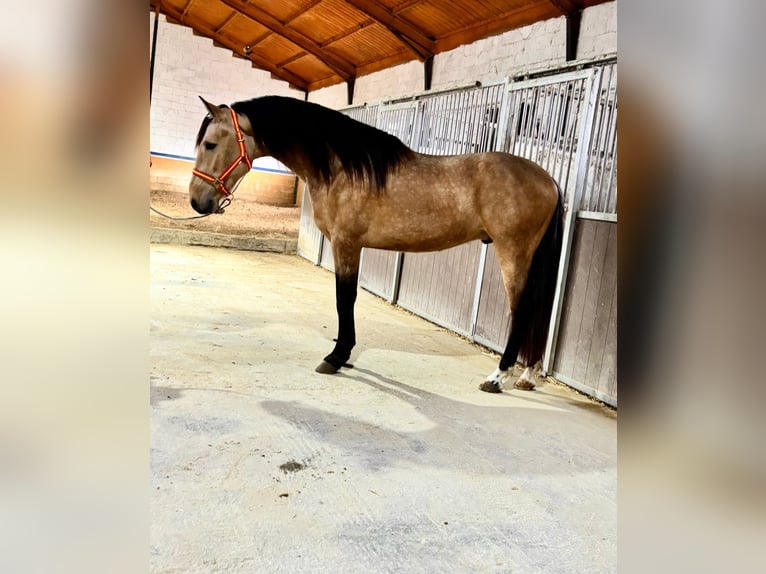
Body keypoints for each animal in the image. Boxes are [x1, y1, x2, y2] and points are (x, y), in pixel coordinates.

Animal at [190, 97, 564, 394]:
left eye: (210, 144)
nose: (196, 200)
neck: (340, 168)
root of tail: (548, 179)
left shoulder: (346, 243)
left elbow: (344, 298)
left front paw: (337, 357)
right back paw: (527, 375)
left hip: (513, 253)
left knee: (522, 312)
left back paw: (497, 377)